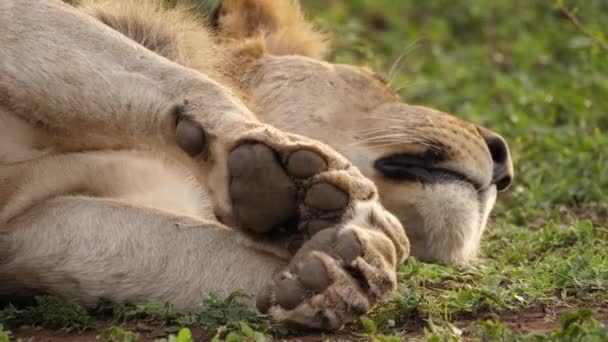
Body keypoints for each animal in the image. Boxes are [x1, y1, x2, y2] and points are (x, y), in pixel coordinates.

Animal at [0, 0, 512, 332]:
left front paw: (347, 269)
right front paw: (284, 172)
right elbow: (175, 77)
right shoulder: (22, 14)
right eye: (378, 82)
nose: (503, 155)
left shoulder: (26, 230)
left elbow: (179, 249)